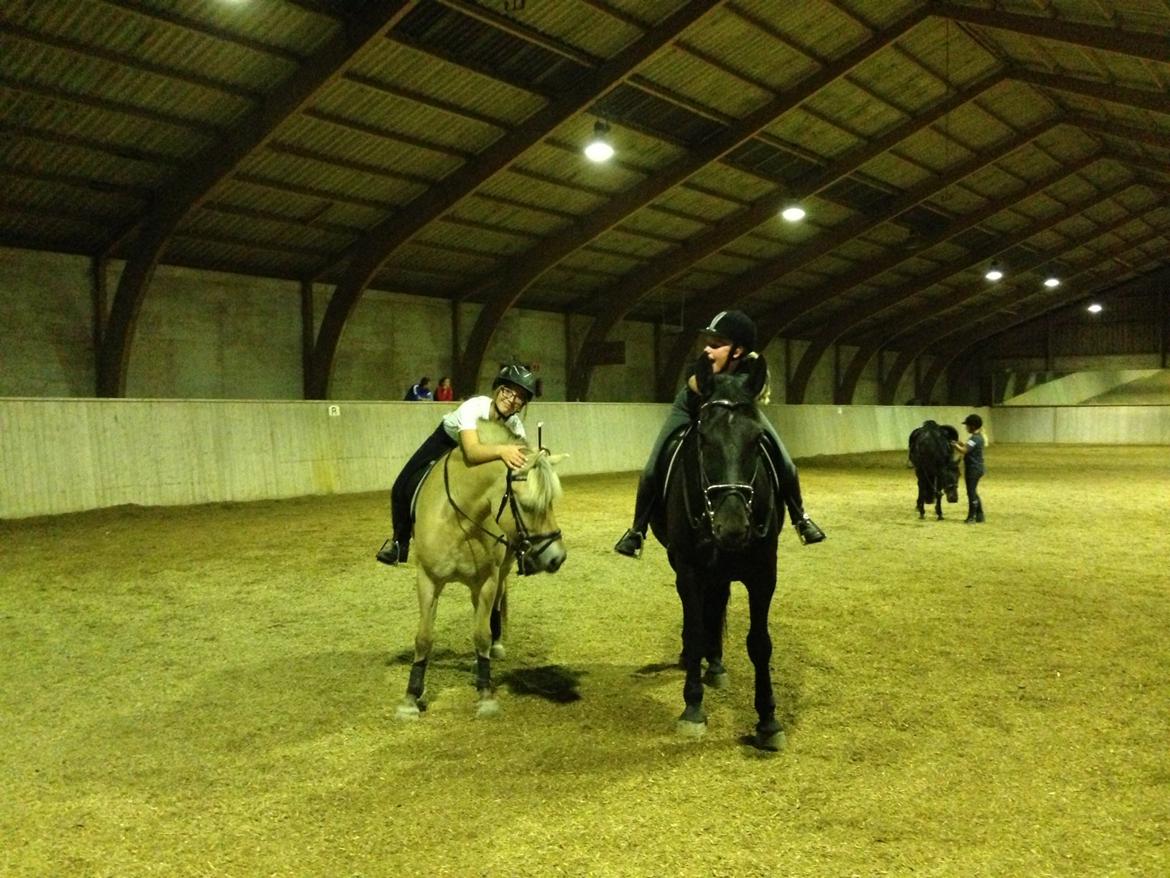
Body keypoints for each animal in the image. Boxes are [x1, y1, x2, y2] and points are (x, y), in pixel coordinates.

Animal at [395, 421, 568, 721]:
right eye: (528, 505)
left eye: (551, 502)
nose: (557, 557)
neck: (459, 519)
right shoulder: (427, 579)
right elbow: (423, 638)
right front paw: (411, 697)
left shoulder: (486, 580)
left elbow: (482, 634)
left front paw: (485, 694)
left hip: (502, 569)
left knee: (495, 605)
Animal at [650, 360, 786, 753]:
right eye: (703, 439)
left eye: (757, 440)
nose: (733, 527)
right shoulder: (689, 569)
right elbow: (696, 628)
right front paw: (693, 708)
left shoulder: (764, 573)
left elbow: (760, 643)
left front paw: (768, 720)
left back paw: (716, 665)